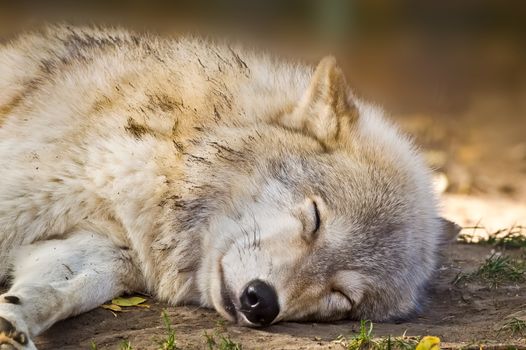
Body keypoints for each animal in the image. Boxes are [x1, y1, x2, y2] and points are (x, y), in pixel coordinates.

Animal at [0, 26, 458, 348]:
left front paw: (13, 323)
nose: (262, 302)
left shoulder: (99, 249)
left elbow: (49, 294)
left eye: (342, 297)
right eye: (315, 219)